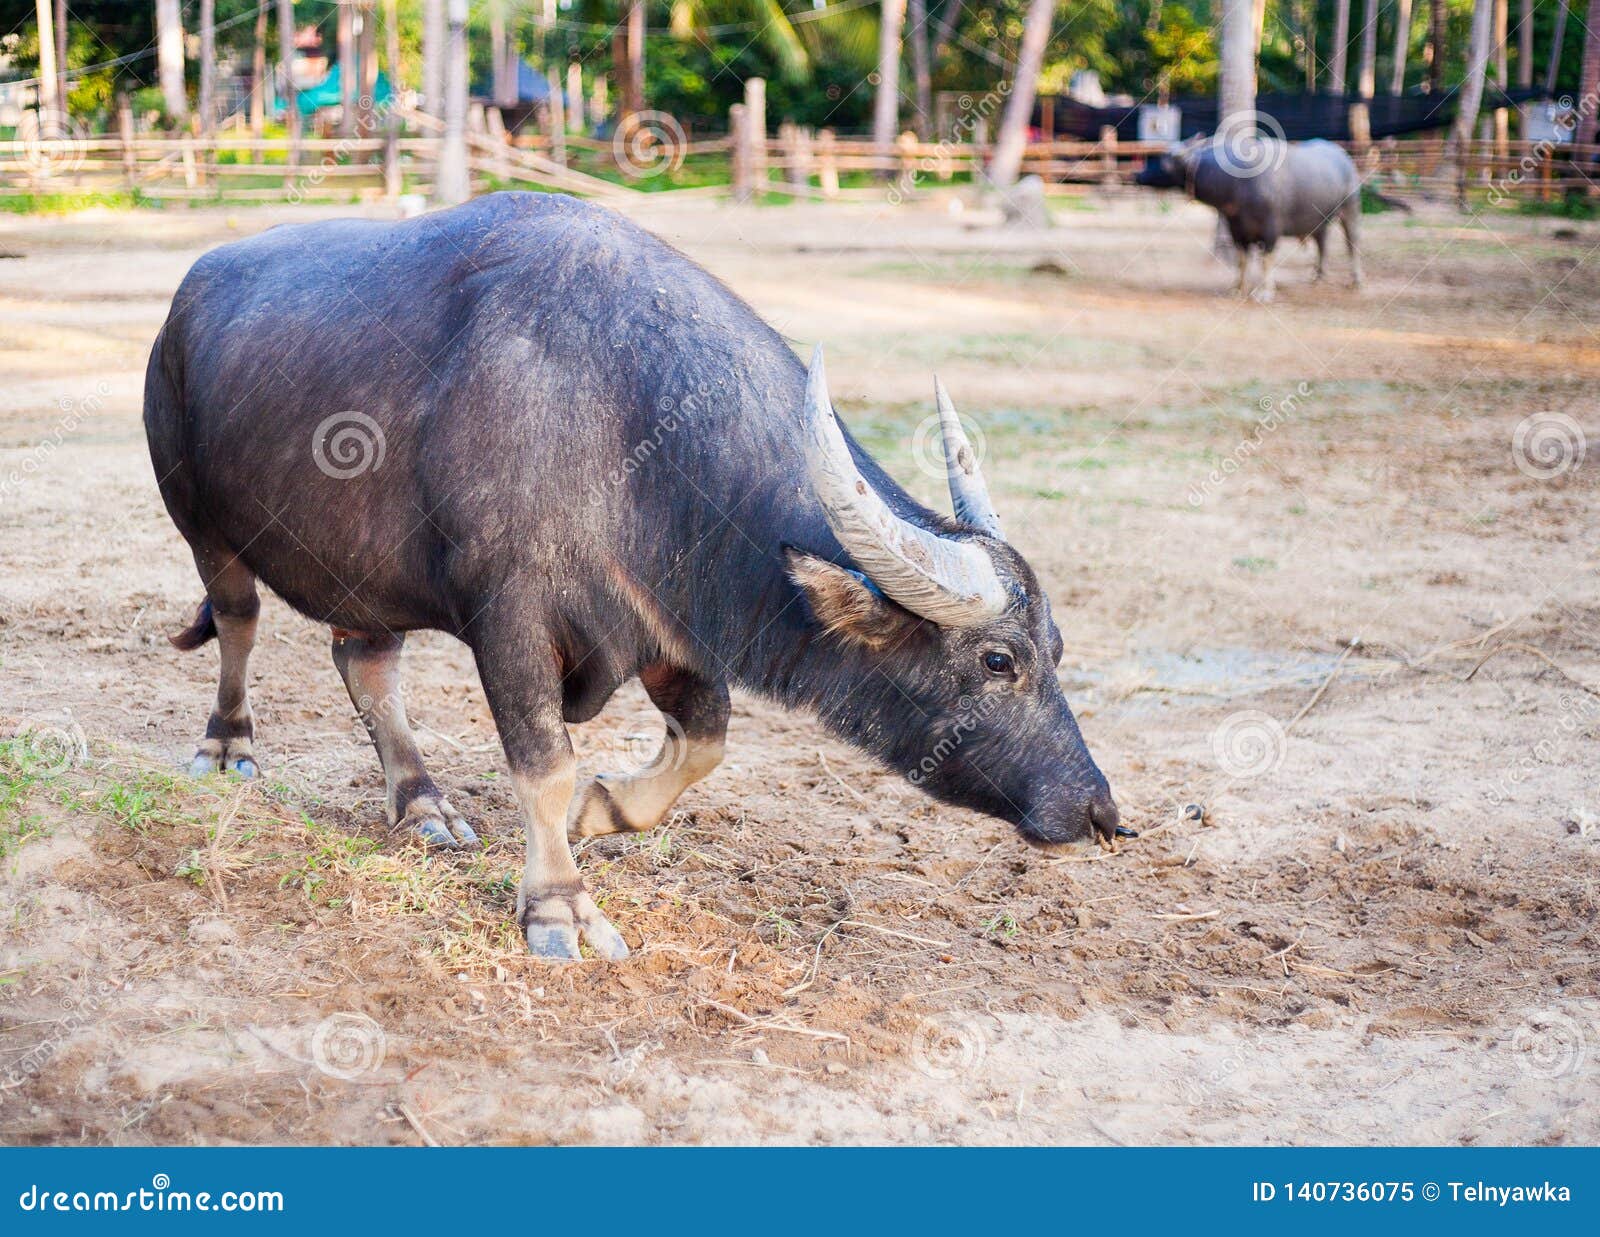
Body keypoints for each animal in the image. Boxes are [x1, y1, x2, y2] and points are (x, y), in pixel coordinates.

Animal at [144, 192, 1119, 960]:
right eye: (998, 660)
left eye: (1058, 648)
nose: (1099, 810)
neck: (633, 433)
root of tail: (183, 305)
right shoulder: (512, 621)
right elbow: (543, 763)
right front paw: (559, 906)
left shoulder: (666, 623)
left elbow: (705, 742)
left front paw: (601, 811)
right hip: (200, 521)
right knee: (240, 622)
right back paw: (229, 745)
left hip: (360, 571)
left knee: (367, 663)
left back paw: (422, 803)